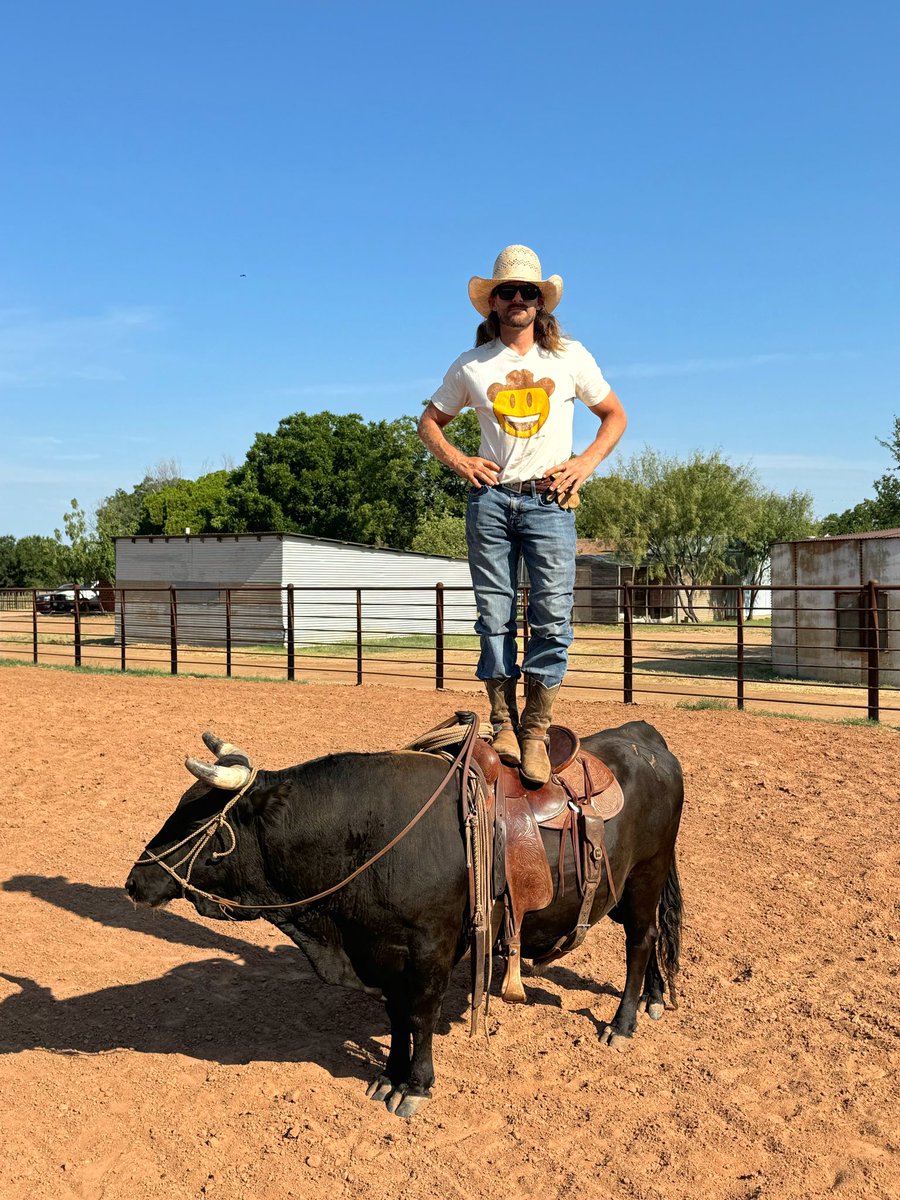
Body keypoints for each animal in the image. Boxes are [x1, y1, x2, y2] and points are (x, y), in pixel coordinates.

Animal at [125, 719, 683, 1118]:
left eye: (196, 817)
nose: (134, 882)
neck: (371, 837)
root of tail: (645, 737)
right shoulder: (380, 950)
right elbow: (395, 1015)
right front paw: (388, 1077)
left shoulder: (429, 950)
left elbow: (420, 1015)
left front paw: (415, 1085)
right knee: (656, 937)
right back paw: (654, 998)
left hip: (645, 877)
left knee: (641, 941)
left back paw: (624, 1022)